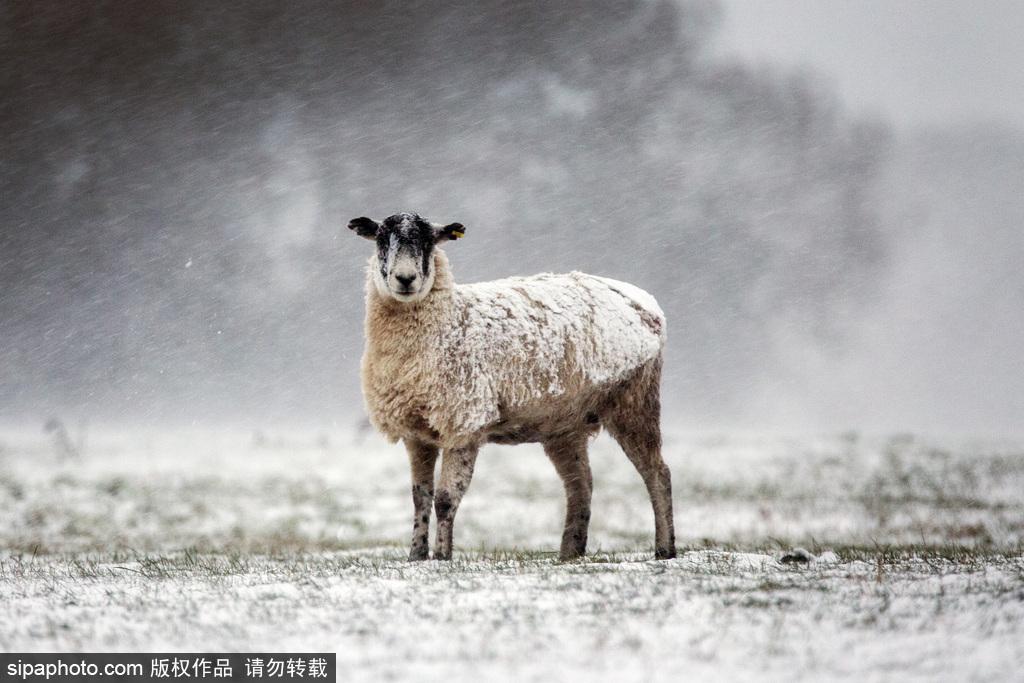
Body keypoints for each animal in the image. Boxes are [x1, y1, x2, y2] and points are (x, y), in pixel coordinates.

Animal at [348, 211, 675, 561]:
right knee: (581, 485)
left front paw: (442, 556)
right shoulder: (415, 432)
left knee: (657, 473)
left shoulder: (464, 422)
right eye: (382, 240)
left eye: (430, 242)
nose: (405, 279)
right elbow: (420, 497)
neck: (448, 322)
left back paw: (664, 549)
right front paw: (416, 556)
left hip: (635, 399)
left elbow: (446, 499)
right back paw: (569, 553)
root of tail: (645, 302)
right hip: (566, 424)